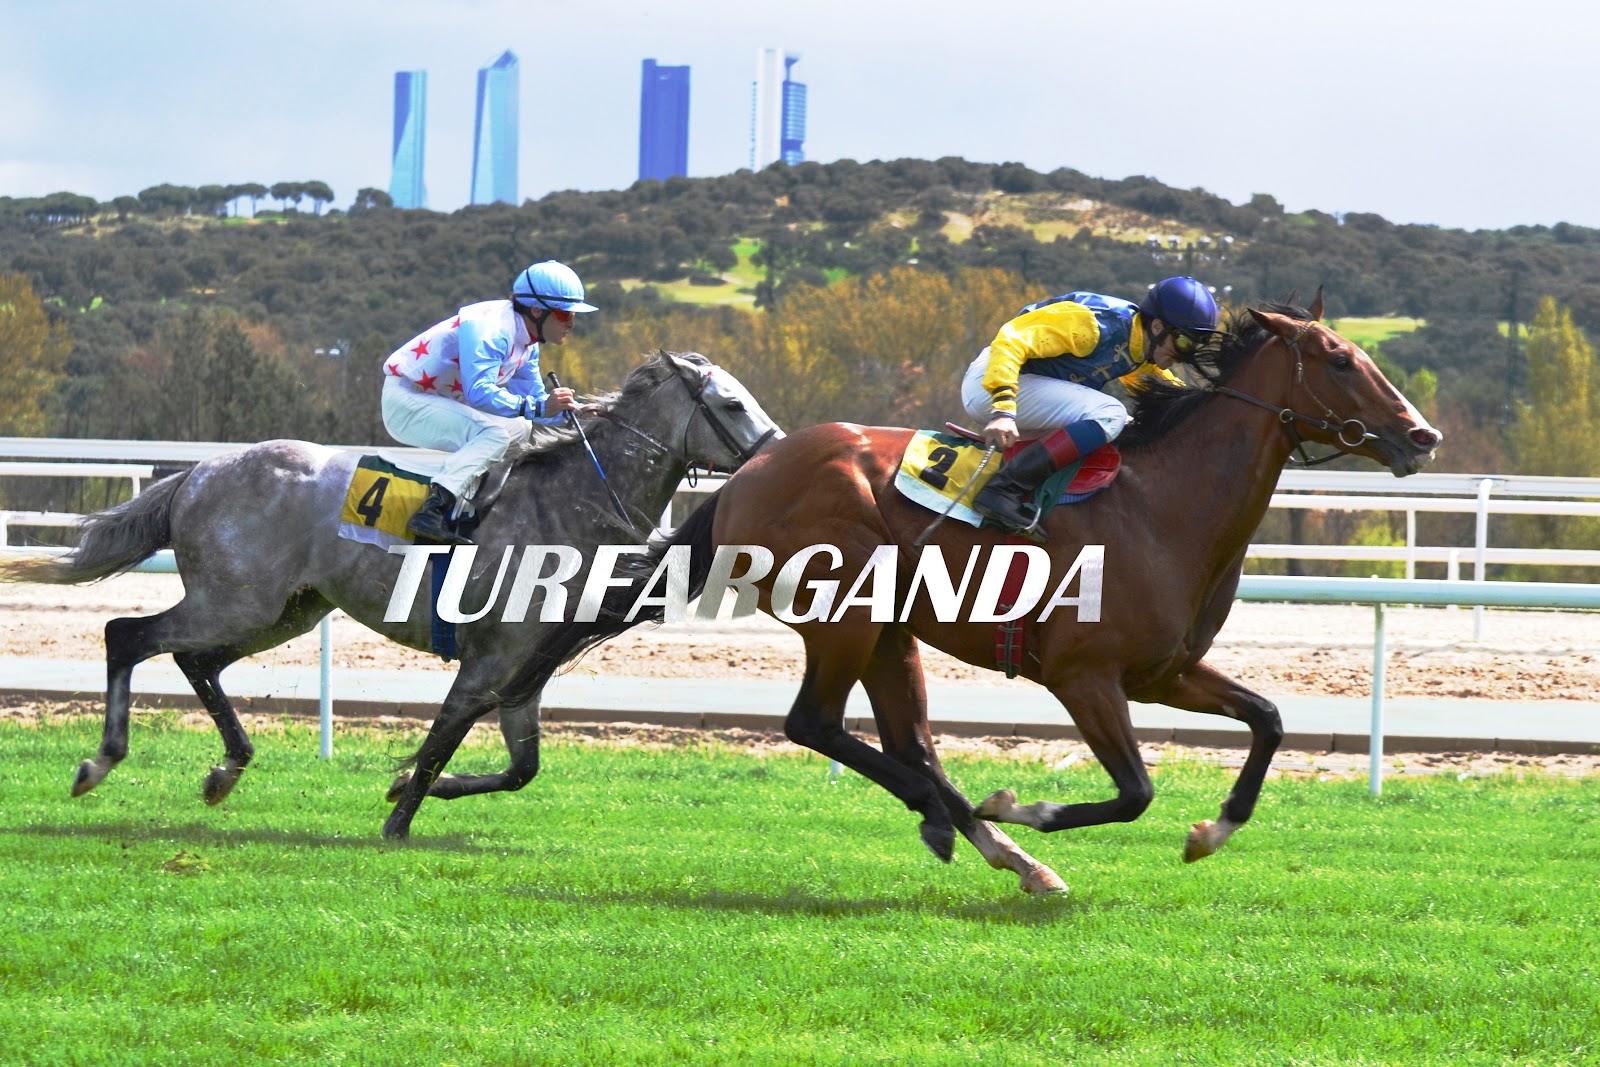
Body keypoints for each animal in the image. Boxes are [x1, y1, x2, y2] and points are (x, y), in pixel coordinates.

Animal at [3, 352, 782, 813]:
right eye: (733, 404)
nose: (776, 455)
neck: (574, 501)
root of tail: (198, 472)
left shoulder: (524, 671)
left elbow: (519, 767)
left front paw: (406, 789)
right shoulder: (490, 660)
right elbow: (442, 738)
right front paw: (399, 820)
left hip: (282, 611)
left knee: (195, 662)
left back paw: (227, 768)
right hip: (233, 601)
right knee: (127, 635)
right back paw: (101, 761)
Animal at [392, 296, 1442, 893]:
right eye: (1341, 360)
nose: (1421, 435)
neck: (1162, 505)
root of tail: (749, 473)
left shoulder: (1165, 670)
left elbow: (1267, 719)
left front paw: (1210, 831)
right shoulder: (1087, 676)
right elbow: (1135, 789)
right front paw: (1030, 807)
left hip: (890, 629)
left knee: (903, 740)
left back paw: (982, 837)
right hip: (844, 615)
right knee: (818, 726)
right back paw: (989, 831)